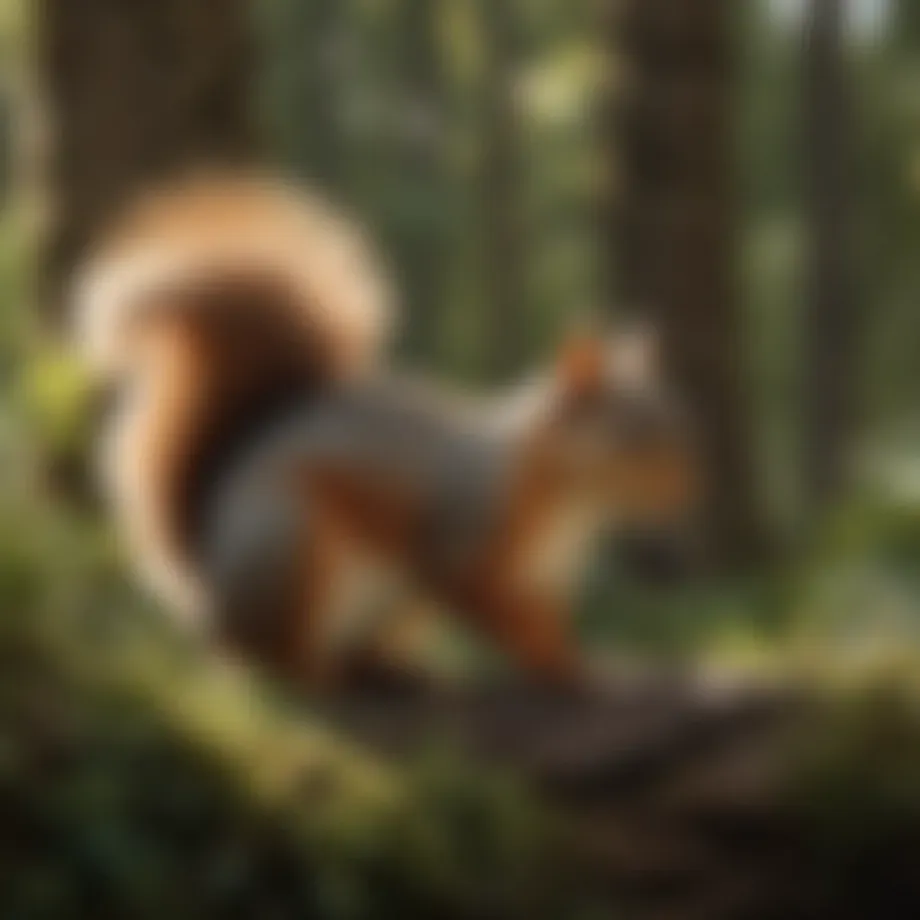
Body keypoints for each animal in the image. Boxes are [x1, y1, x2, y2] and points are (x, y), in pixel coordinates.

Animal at [75, 173, 696, 691]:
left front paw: (588, 660)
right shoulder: (464, 536)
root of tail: (213, 597)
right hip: (293, 547)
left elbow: (547, 620)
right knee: (270, 661)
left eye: (678, 428)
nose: (686, 494)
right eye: (635, 436)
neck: (568, 500)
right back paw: (310, 670)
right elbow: (497, 613)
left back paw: (392, 670)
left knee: (347, 655)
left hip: (397, 609)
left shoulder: (544, 582)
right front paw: (559, 666)